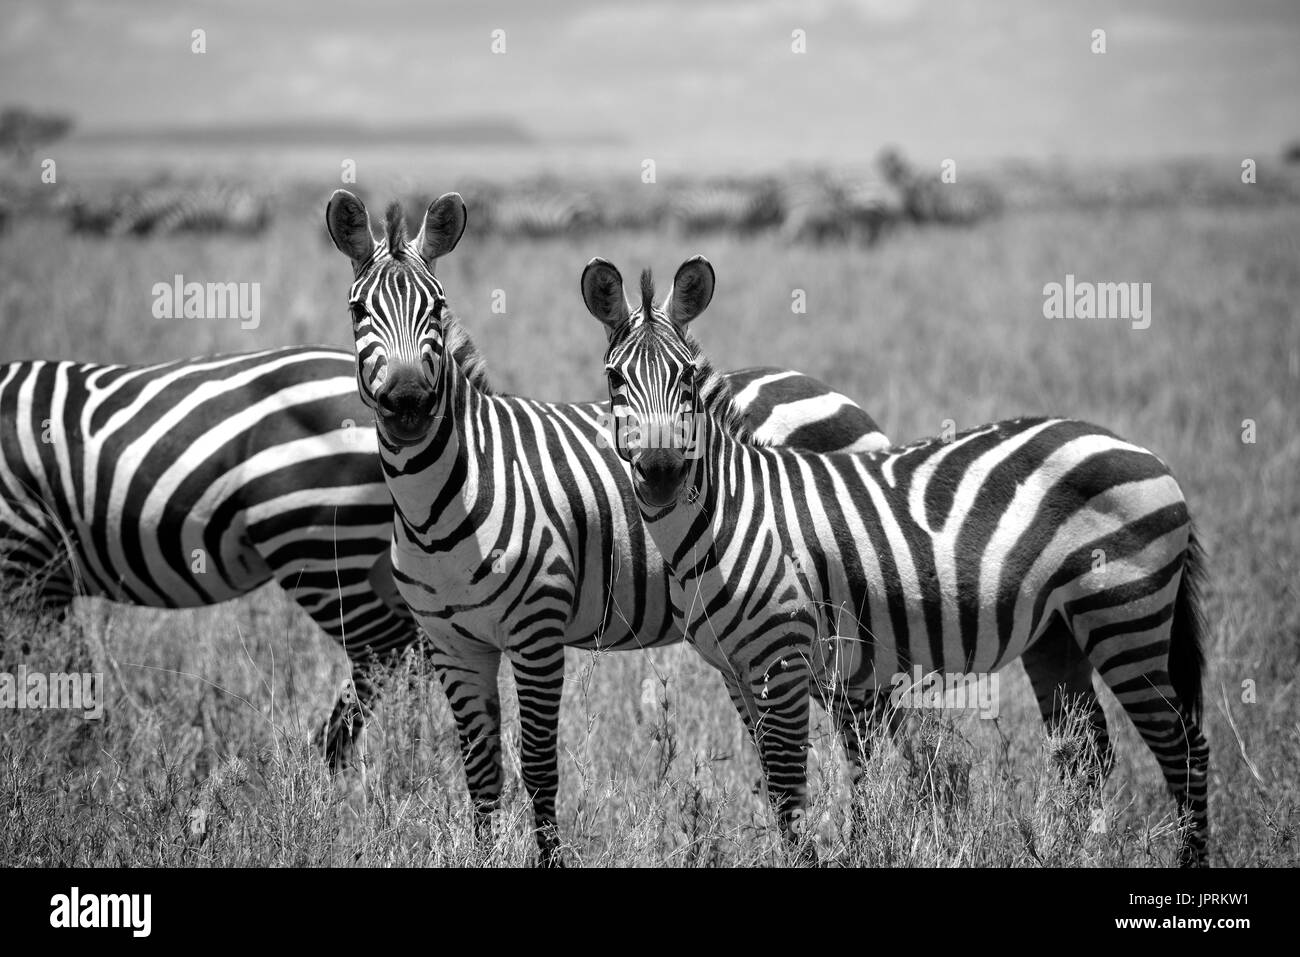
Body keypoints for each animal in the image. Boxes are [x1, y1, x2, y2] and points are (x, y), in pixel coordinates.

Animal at [325, 188, 894, 868]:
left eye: (436, 310)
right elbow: (480, 773)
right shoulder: (452, 646)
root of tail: (831, 391)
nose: (409, 403)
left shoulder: (537, 632)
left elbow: (537, 766)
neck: (441, 503)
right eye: (357, 310)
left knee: (867, 727)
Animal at [585, 254, 1211, 868]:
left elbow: (787, 788)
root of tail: (1139, 449)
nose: (662, 473)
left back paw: (1188, 856)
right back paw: (1074, 852)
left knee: (1184, 746)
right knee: (1088, 753)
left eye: (687, 377)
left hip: (1125, 618)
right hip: (1056, 630)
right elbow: (774, 781)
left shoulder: (781, 658)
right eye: (615, 378)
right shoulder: (736, 671)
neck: (731, 514)